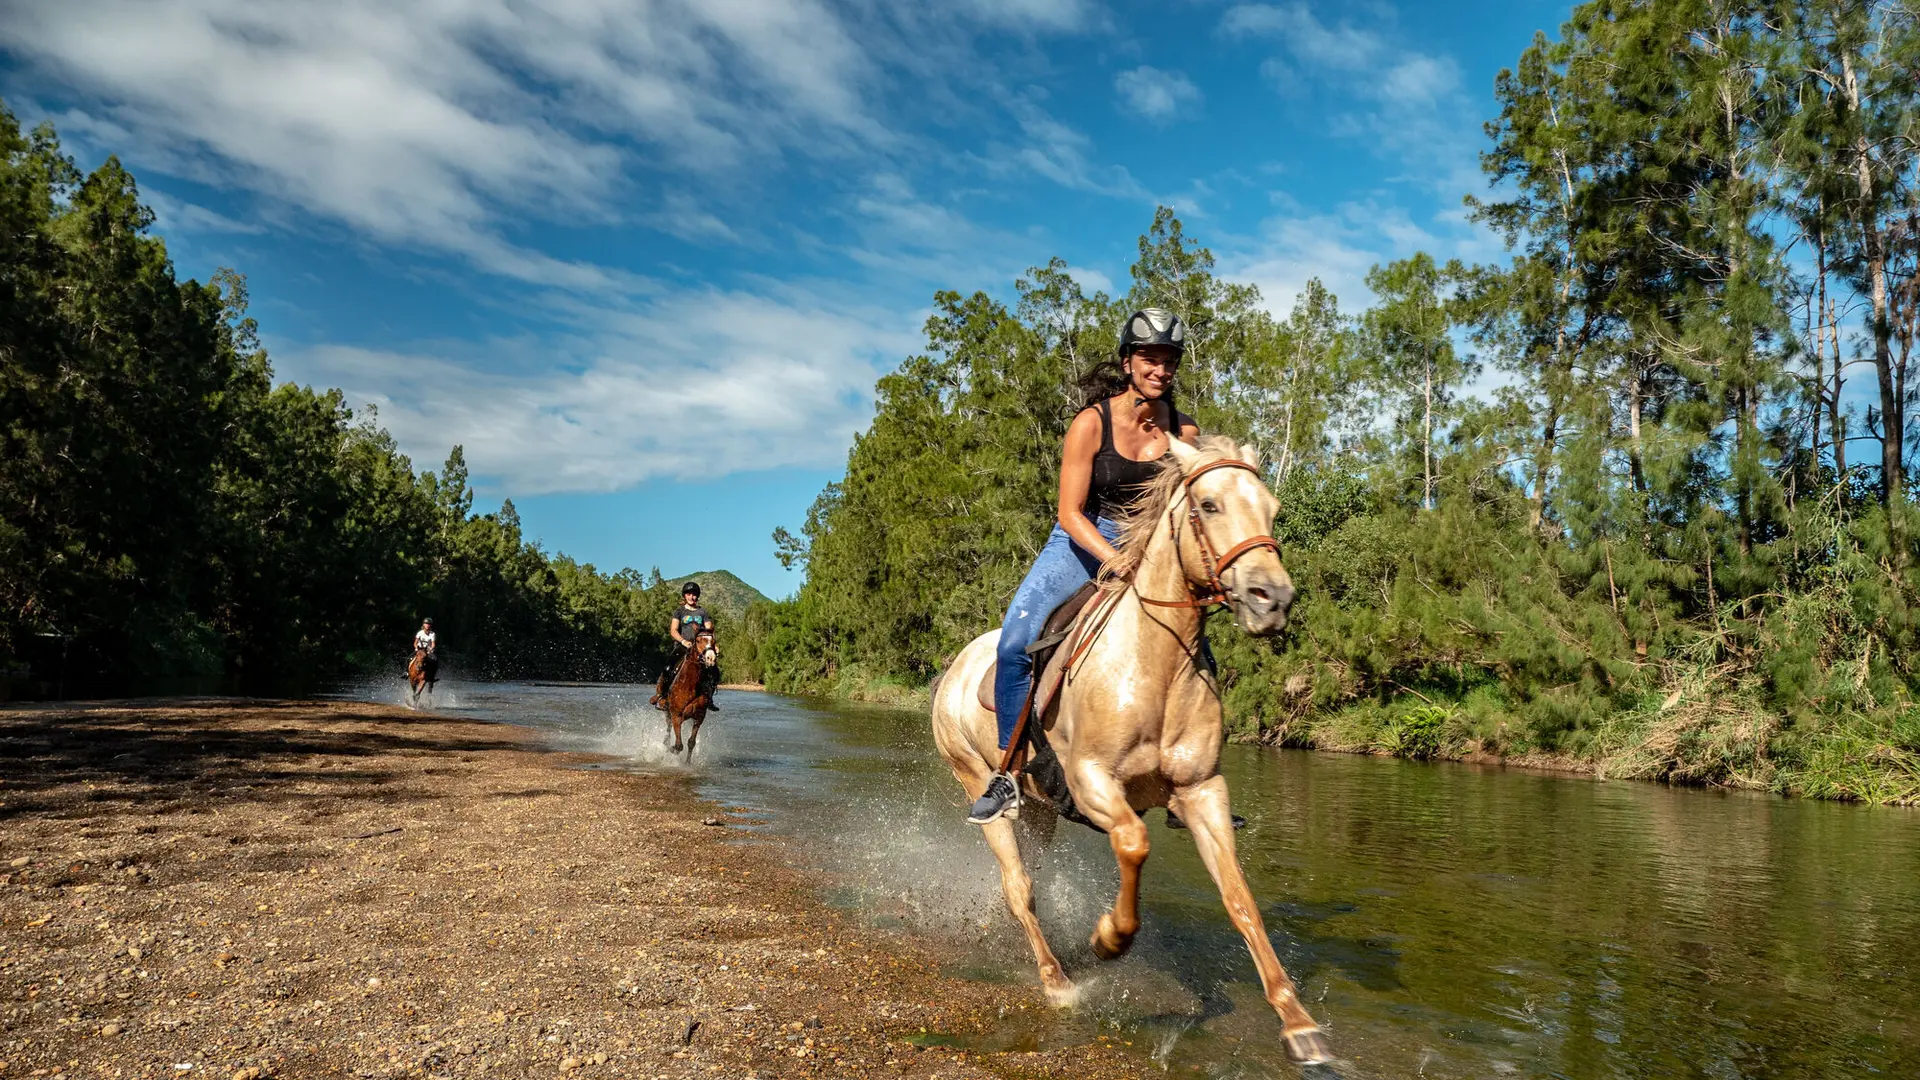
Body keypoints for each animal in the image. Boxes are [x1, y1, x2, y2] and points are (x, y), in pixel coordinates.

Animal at [660, 622, 721, 757]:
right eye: (698, 640)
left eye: (714, 641)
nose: (710, 658)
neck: (690, 685)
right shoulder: (676, 715)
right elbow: (678, 745)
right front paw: (672, 749)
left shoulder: (699, 717)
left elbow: (690, 743)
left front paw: (687, 761)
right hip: (668, 713)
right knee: (668, 734)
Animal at [933, 434, 1336, 1060]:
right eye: (1209, 505)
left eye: (1271, 509)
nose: (1272, 599)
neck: (1156, 664)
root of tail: (952, 670)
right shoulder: (1093, 782)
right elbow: (1134, 843)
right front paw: (1109, 939)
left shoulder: (1202, 791)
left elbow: (1240, 898)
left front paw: (1297, 1021)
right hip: (980, 784)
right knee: (1018, 886)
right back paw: (1057, 980)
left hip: (1040, 813)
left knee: (1028, 881)